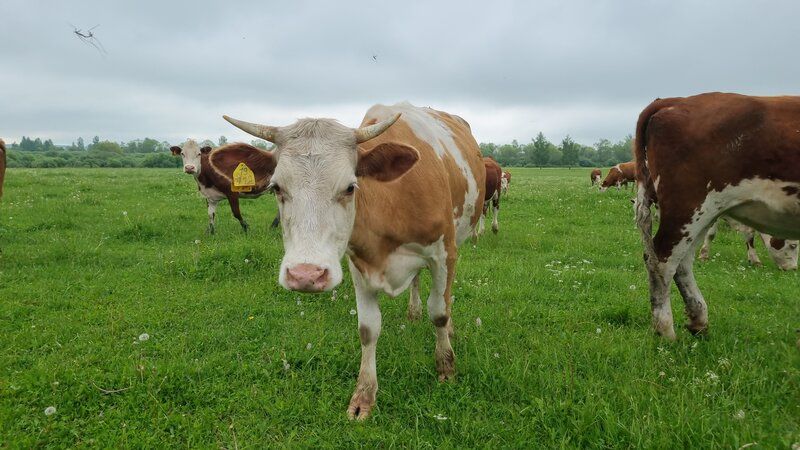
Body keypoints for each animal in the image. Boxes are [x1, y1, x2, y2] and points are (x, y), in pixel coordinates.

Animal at [210, 102, 486, 420]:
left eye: (351, 187)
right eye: (276, 188)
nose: (305, 275)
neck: (392, 204)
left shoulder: (444, 253)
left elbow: (439, 312)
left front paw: (446, 368)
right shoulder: (358, 266)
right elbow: (368, 329)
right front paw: (364, 395)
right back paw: (413, 312)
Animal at [634, 92, 800, 340]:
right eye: (793, 245)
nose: (792, 269)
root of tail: (675, 100)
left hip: (703, 212)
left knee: (683, 261)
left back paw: (698, 320)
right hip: (689, 206)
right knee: (663, 260)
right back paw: (665, 330)